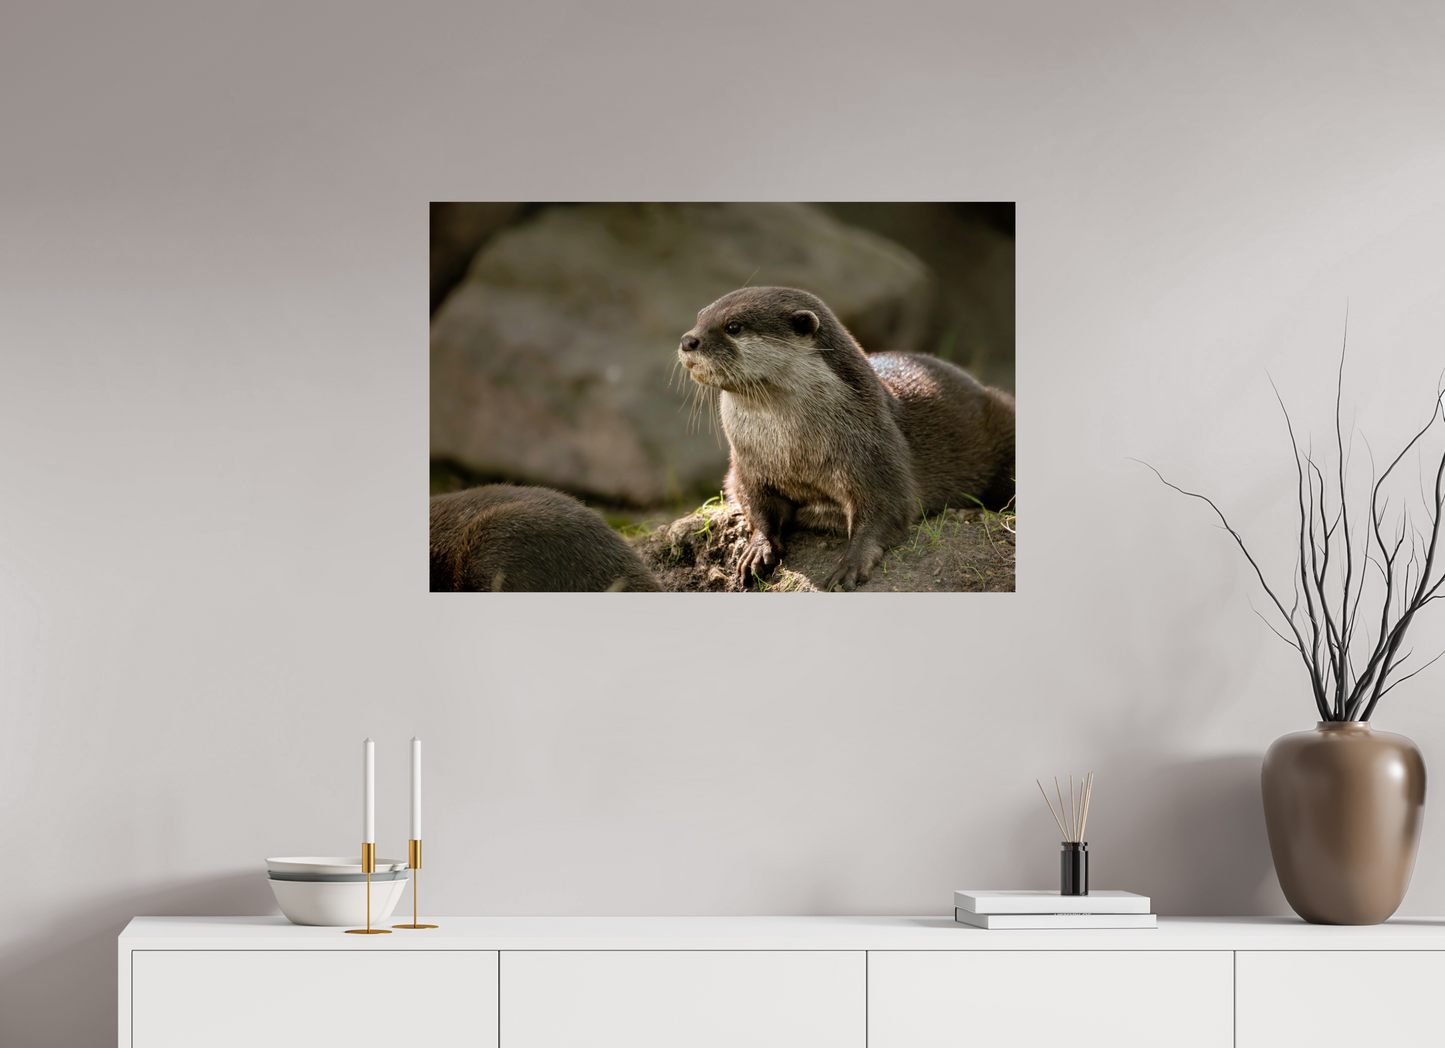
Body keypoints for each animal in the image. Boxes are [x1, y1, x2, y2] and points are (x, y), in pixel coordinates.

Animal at [678, 286, 1014, 591]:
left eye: (733, 326)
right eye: (699, 317)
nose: (687, 340)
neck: (792, 452)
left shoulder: (876, 451)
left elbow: (889, 508)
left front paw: (850, 563)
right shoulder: (745, 466)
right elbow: (756, 506)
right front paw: (758, 548)